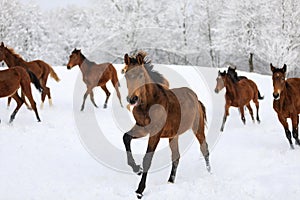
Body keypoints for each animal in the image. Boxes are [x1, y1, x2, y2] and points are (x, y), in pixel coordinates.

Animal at [122, 51, 211, 198]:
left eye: (141, 74)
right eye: (126, 74)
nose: (132, 99)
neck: (150, 103)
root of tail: (196, 99)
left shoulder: (155, 133)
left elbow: (147, 159)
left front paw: (140, 190)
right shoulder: (142, 128)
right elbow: (126, 137)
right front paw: (137, 169)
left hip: (198, 128)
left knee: (204, 149)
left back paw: (209, 173)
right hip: (173, 136)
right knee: (176, 156)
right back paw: (170, 181)